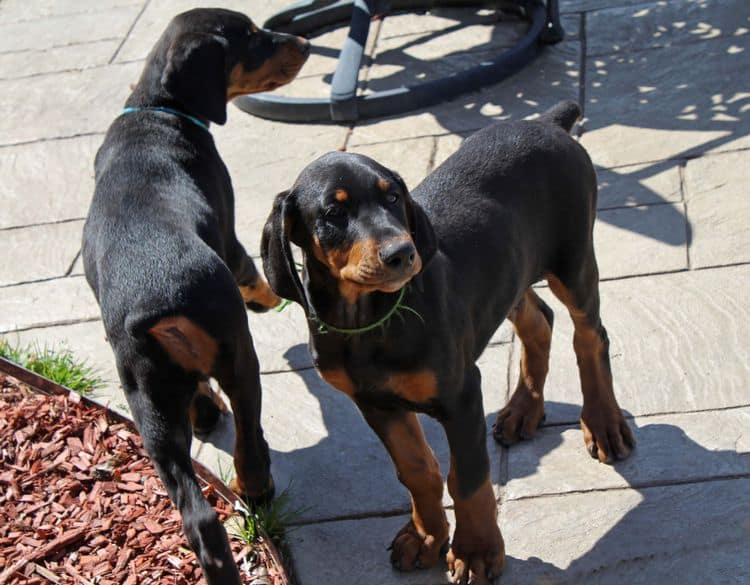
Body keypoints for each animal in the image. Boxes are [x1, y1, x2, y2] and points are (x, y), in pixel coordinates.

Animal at [83, 9, 310, 584]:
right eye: (250, 38)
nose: (303, 42)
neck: (156, 108)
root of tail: (154, 306)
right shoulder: (226, 230)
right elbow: (248, 264)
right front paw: (267, 298)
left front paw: (205, 409)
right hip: (239, 354)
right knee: (248, 438)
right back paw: (257, 485)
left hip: (147, 402)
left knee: (196, 515)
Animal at [262, 102, 636, 584]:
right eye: (333, 213)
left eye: (393, 198)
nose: (403, 253)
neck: (371, 320)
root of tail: (547, 123)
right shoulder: (374, 403)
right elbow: (416, 469)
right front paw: (426, 537)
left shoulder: (462, 393)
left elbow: (469, 478)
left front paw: (476, 551)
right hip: (509, 273)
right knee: (539, 320)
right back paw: (522, 410)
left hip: (572, 260)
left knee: (590, 335)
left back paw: (603, 422)